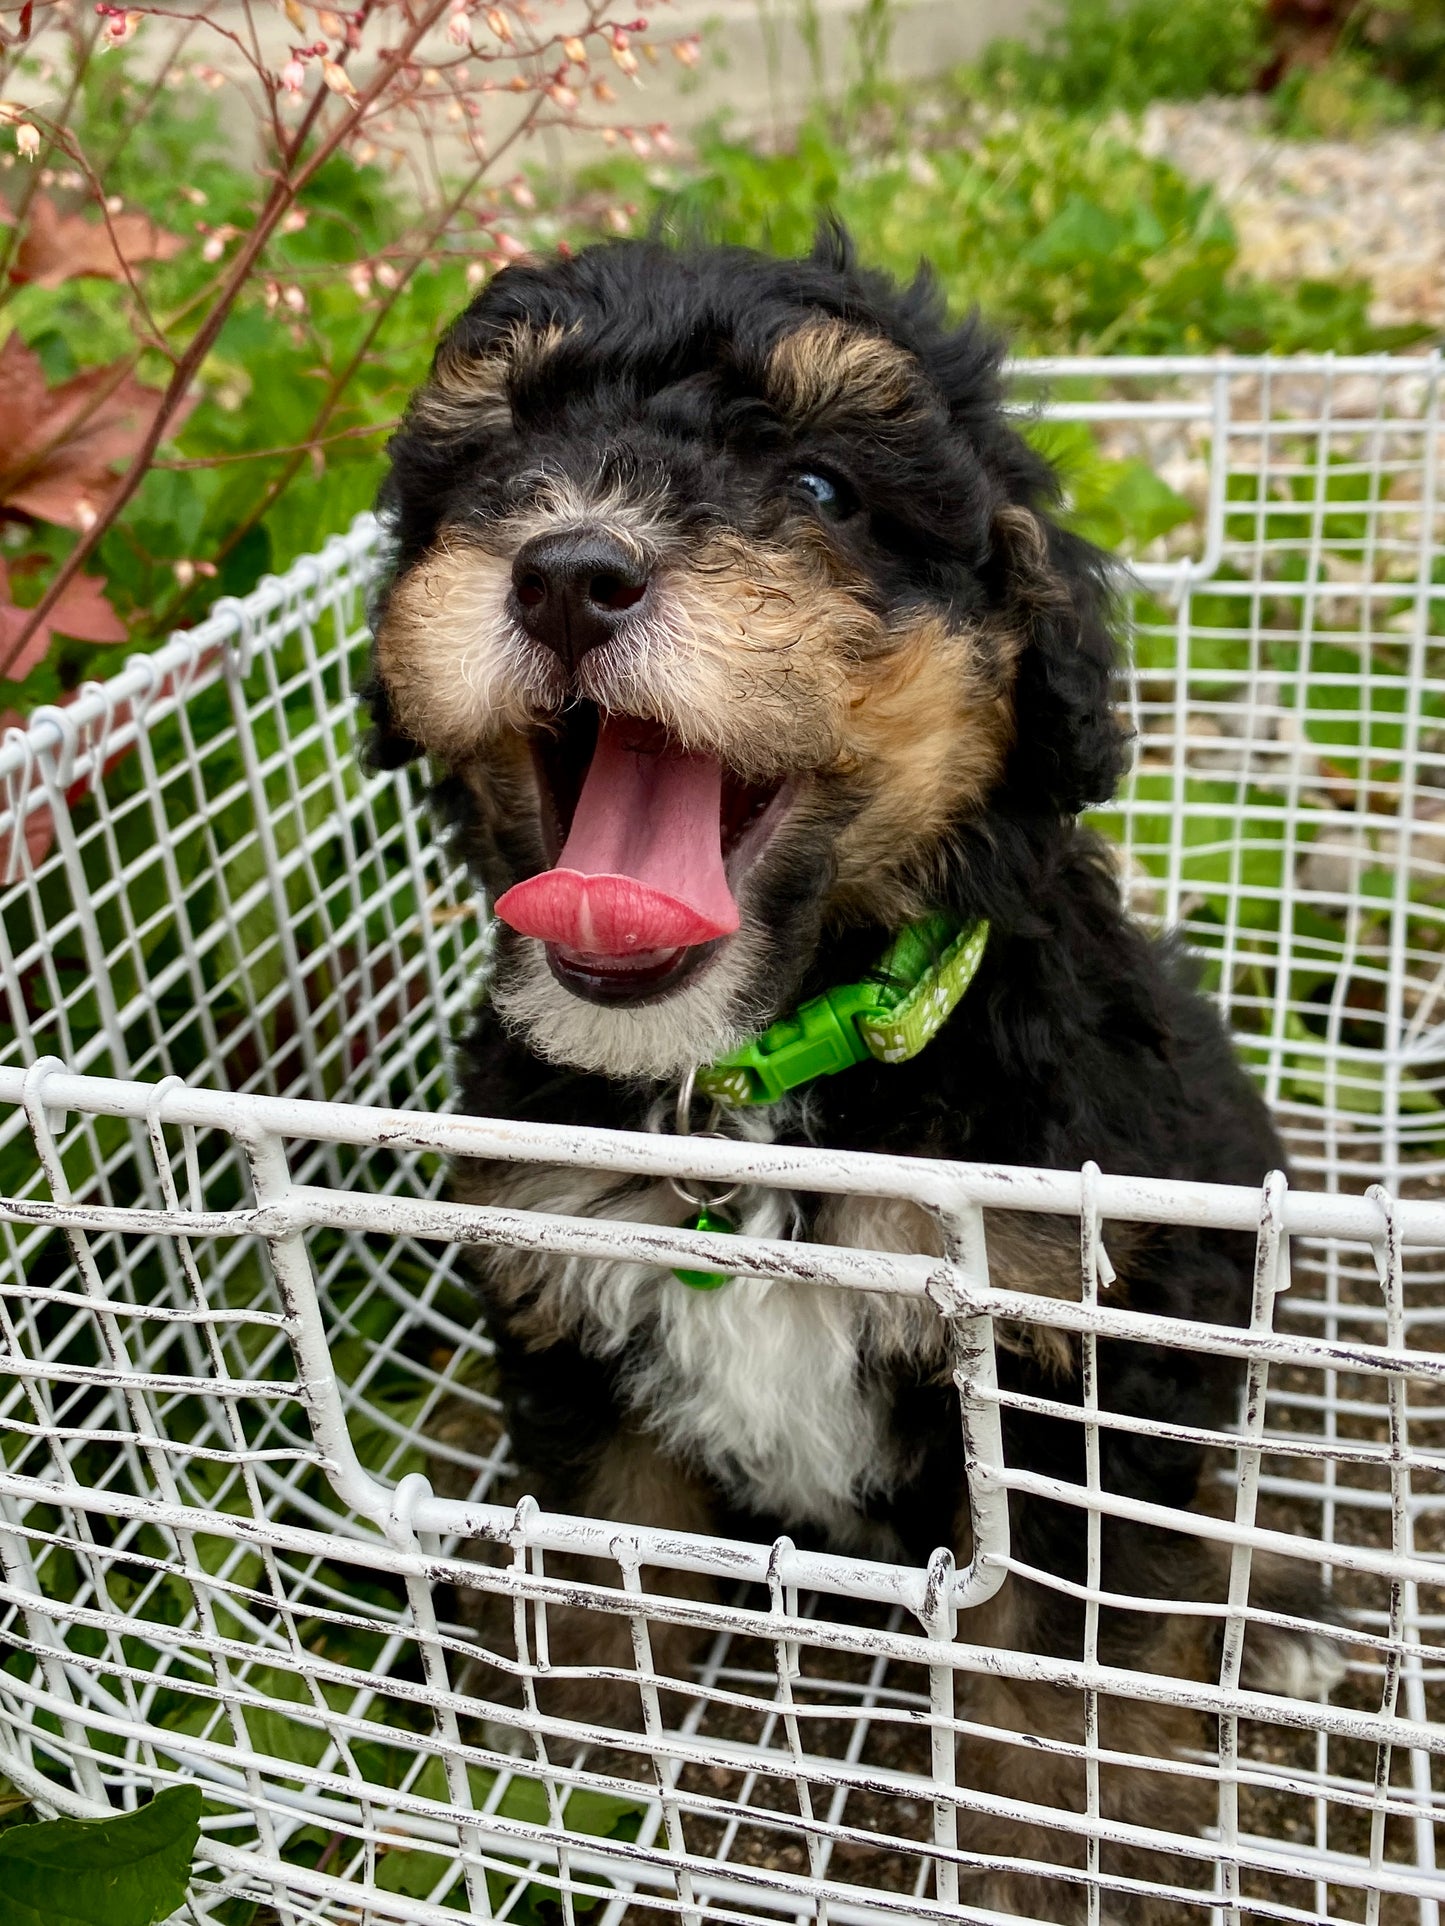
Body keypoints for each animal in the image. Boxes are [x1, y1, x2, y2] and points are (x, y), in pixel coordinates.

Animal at [369, 233, 1348, 1918]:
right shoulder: (567, 1286)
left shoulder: (1072, 1364)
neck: (756, 1086)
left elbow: (1051, 1650)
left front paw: (1044, 1842)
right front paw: (588, 1758)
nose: (566, 567)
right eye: (498, 460)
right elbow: (605, 1549)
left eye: (821, 487)